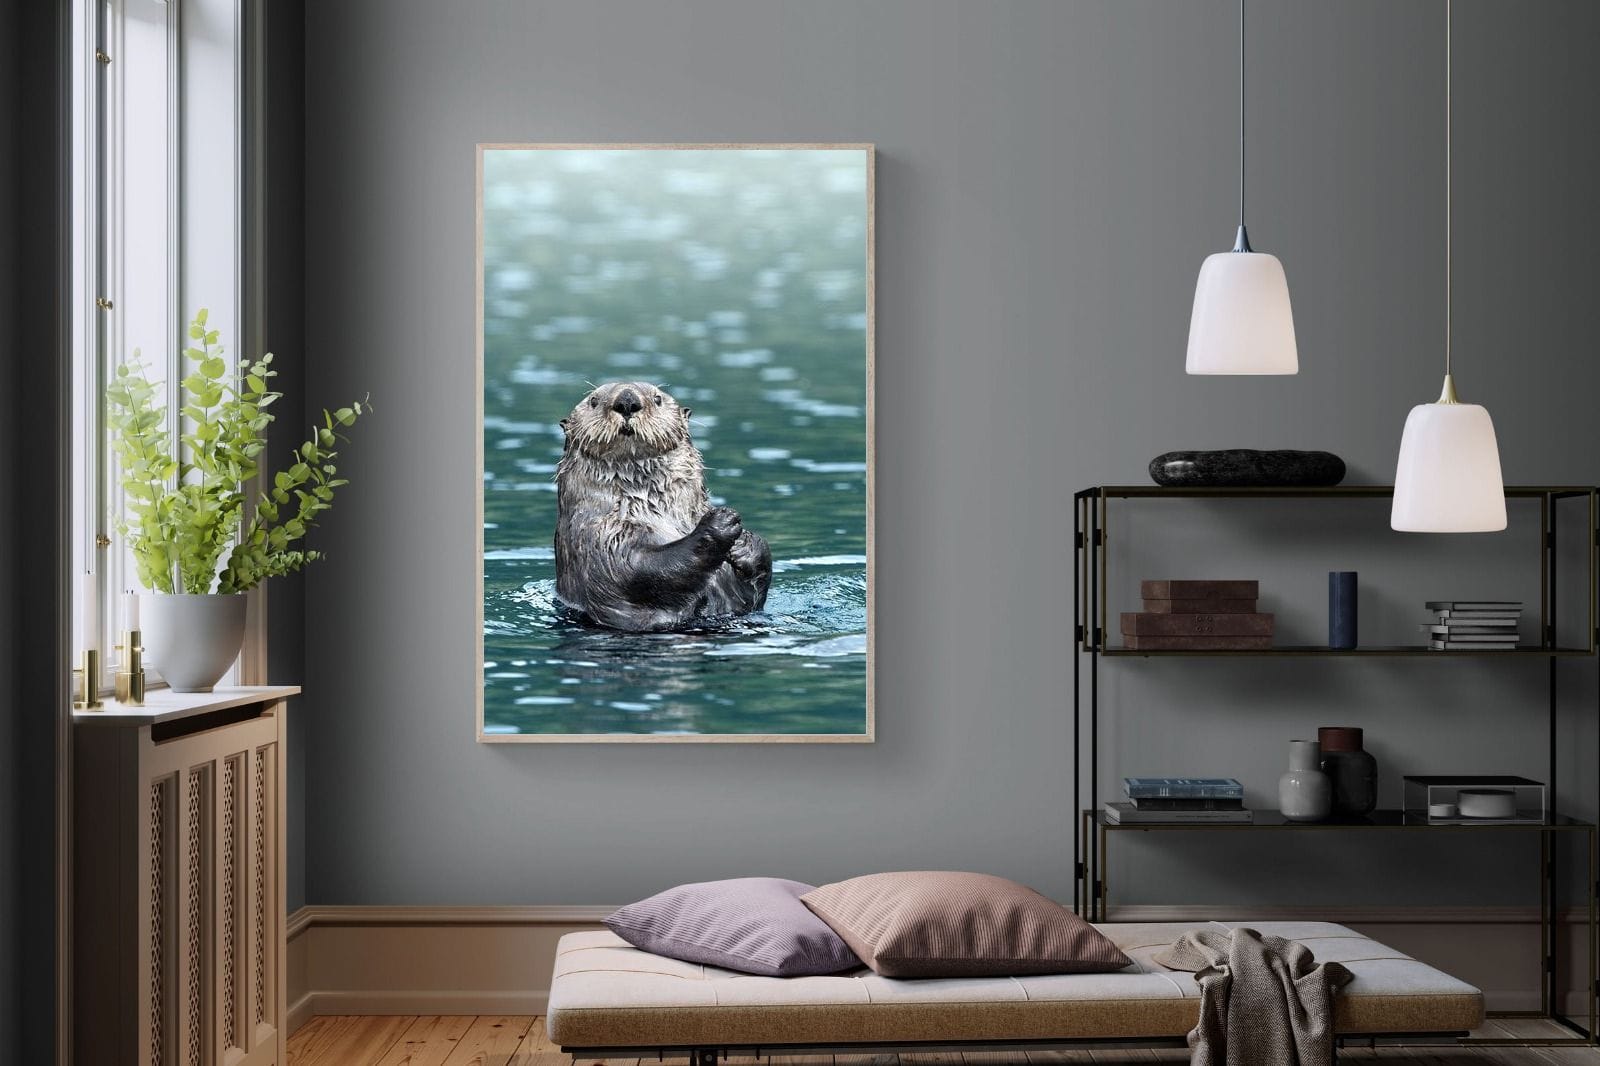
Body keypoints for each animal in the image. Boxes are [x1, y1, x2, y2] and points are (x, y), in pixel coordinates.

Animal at [554, 381, 772, 632]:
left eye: (657, 398)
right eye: (593, 401)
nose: (627, 400)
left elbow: (752, 597)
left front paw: (745, 544)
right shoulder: (599, 537)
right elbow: (638, 569)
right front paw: (720, 522)